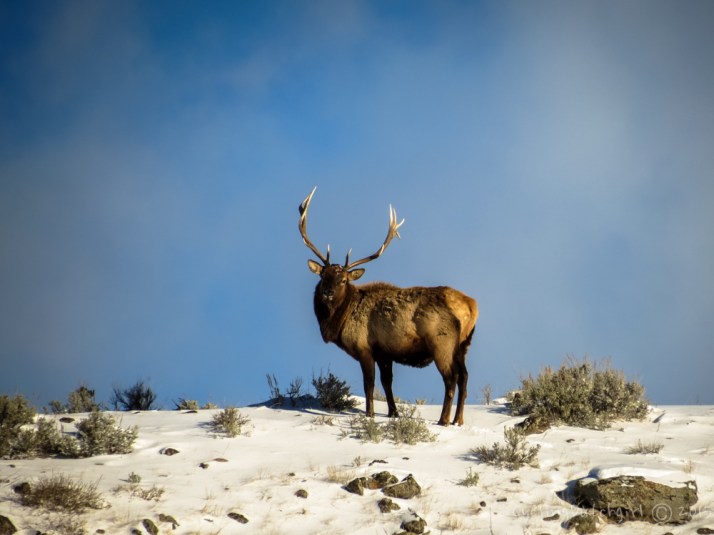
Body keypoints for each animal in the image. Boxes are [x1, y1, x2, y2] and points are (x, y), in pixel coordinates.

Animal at [299, 188, 478, 426]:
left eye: (343, 280)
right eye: (323, 276)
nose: (327, 292)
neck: (339, 322)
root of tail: (471, 306)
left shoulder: (364, 348)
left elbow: (369, 384)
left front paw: (370, 415)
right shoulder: (384, 353)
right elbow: (387, 383)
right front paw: (393, 413)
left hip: (442, 342)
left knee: (451, 378)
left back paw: (443, 420)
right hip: (463, 345)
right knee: (464, 377)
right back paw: (459, 420)